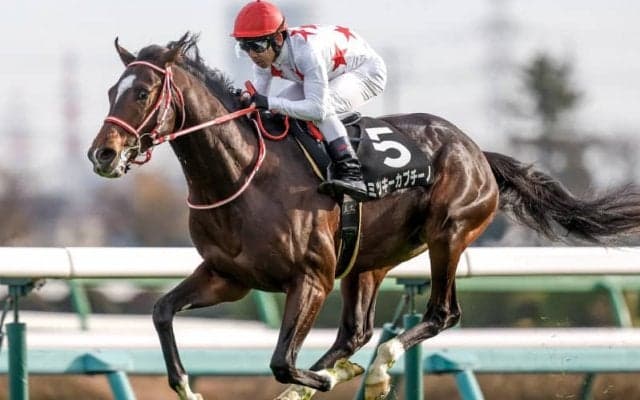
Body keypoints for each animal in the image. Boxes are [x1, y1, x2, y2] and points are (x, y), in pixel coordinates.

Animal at [88, 33, 640, 400]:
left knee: (440, 314)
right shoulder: (229, 276)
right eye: (111, 91)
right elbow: (162, 311)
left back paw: (372, 370)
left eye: (141, 93)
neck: (241, 173)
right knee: (356, 331)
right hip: (369, 259)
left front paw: (327, 378)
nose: (103, 154)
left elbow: (282, 361)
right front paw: (186, 384)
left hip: (449, 233)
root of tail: (477, 150)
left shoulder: (310, 277)